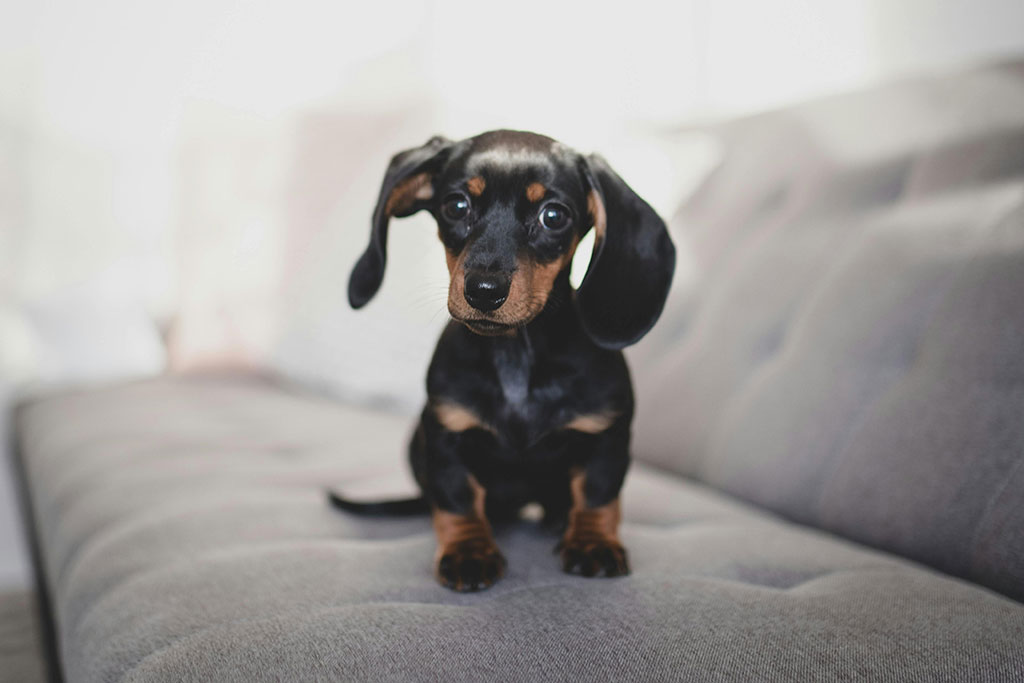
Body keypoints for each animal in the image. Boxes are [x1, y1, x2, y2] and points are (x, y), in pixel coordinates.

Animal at [331, 131, 675, 589]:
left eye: (554, 216)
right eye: (456, 205)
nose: (484, 291)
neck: (517, 354)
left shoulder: (607, 435)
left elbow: (598, 495)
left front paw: (592, 543)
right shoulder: (445, 436)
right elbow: (458, 500)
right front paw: (468, 552)